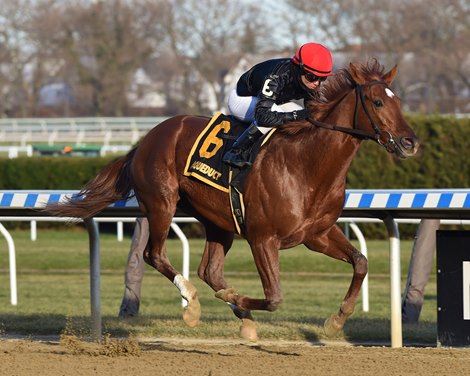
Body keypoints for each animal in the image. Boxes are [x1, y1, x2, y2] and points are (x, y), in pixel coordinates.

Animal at [47, 59, 418, 340]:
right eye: (377, 102)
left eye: (399, 101)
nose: (410, 142)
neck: (306, 164)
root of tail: (145, 140)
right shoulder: (262, 239)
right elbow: (274, 298)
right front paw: (234, 299)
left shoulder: (317, 235)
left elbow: (361, 262)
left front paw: (337, 319)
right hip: (161, 203)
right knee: (155, 255)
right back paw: (193, 304)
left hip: (218, 221)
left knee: (209, 271)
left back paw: (238, 314)